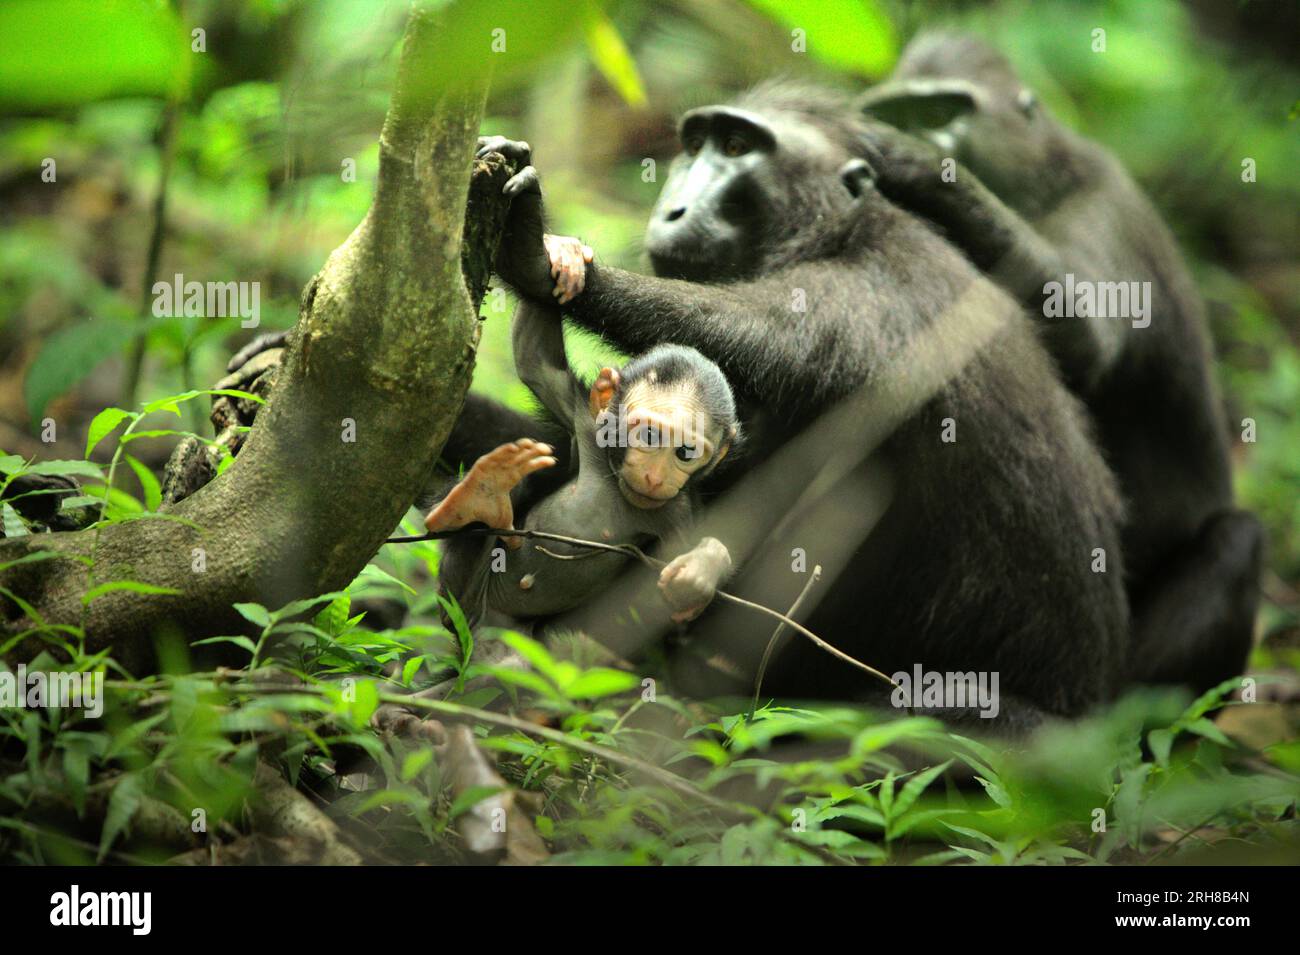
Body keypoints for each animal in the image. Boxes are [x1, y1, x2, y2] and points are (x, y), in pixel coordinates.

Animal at [426, 233, 739, 628]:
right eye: (649, 436)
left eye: (685, 453)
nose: (654, 477)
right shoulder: (585, 420)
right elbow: (536, 361)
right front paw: (567, 255)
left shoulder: (679, 513)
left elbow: (673, 612)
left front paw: (703, 567)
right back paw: (482, 493)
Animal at [471, 84, 1130, 733]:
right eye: (694, 147)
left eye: (737, 147)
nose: (673, 209)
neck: (839, 231)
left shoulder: (871, 300)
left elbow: (748, 335)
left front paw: (529, 248)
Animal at [855, 33, 1263, 693]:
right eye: (899, 108)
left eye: (943, 110)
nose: (924, 135)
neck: (1042, 179)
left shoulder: (1106, 205)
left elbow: (1087, 336)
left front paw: (915, 164)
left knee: (1237, 540)